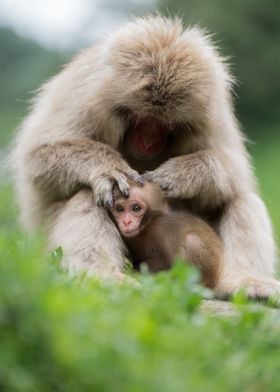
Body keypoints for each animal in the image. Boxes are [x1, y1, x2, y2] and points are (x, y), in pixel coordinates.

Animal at [11, 15, 278, 298]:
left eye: (166, 124)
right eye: (141, 118)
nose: (148, 140)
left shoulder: (214, 113)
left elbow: (235, 169)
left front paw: (184, 175)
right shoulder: (81, 94)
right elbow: (38, 158)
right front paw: (106, 166)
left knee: (239, 198)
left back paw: (242, 281)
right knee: (88, 192)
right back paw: (103, 276)